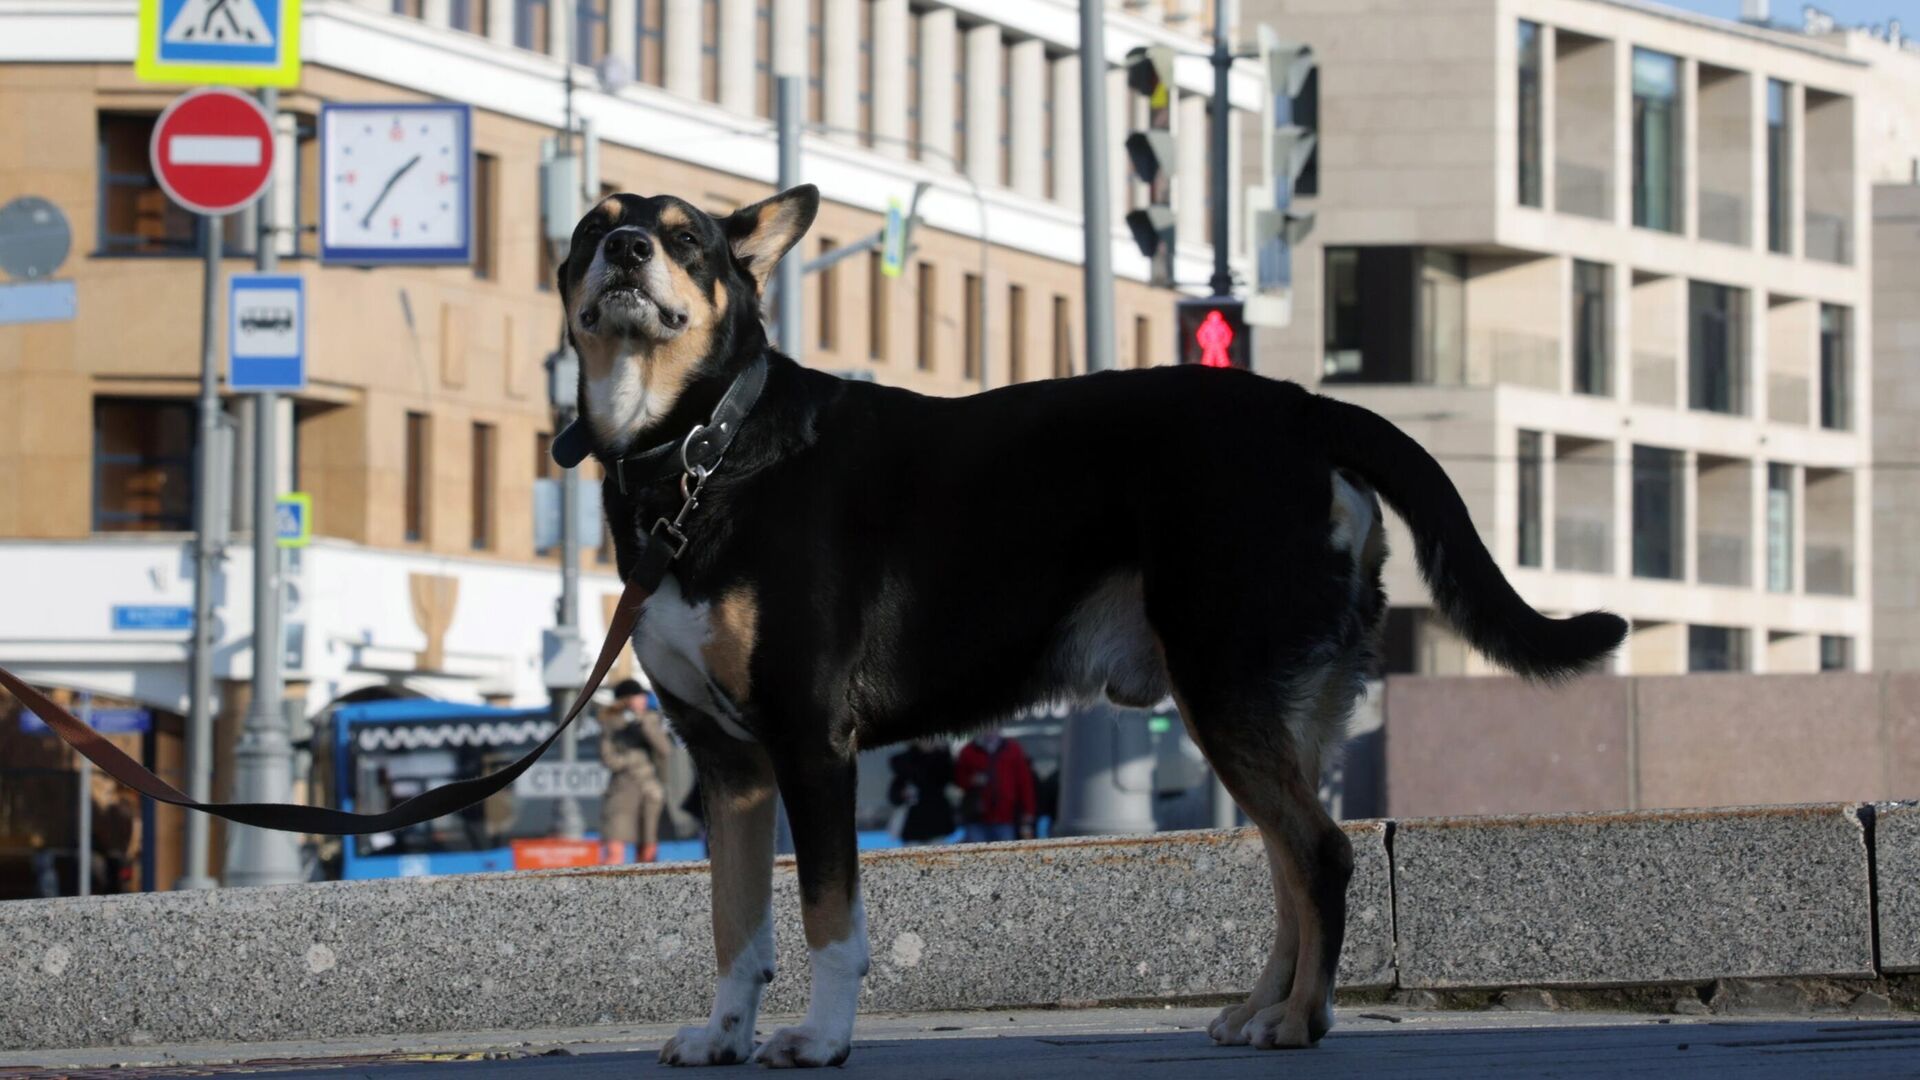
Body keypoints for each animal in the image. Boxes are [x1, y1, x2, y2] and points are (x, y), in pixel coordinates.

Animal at [552, 182, 1620, 1060]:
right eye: (590, 230)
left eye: (685, 238)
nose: (630, 252)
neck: (699, 452)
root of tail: (1304, 408)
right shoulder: (728, 765)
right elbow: (735, 923)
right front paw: (725, 1034)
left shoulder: (812, 745)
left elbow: (826, 918)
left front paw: (818, 1038)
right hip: (1273, 708)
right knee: (1291, 861)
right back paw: (1269, 1009)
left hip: (1226, 688)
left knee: (1320, 852)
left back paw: (1300, 1024)